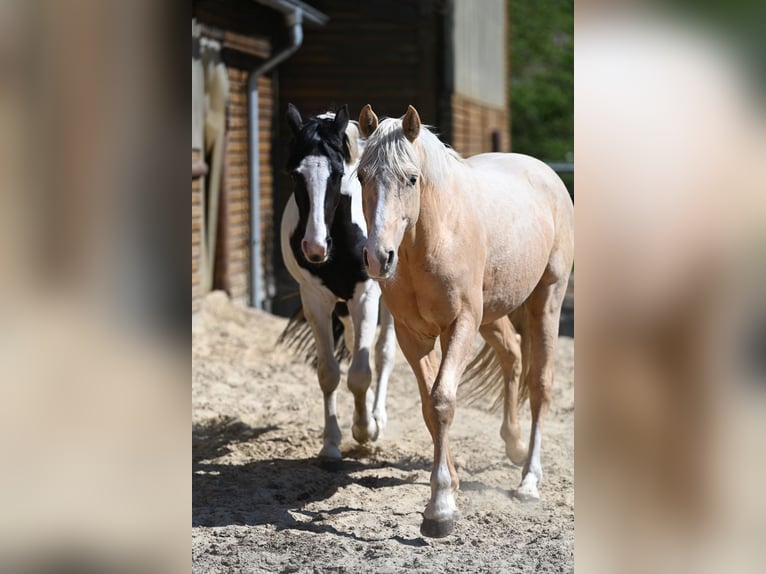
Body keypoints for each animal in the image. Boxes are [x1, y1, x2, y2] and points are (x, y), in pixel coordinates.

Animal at [280, 103, 396, 464]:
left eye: (336, 173)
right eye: (295, 174)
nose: (315, 247)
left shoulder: (366, 297)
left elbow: (361, 373)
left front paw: (365, 430)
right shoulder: (316, 300)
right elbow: (329, 373)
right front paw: (331, 443)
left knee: (383, 353)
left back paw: (377, 418)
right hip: (342, 309)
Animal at [356, 104, 572, 540]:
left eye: (411, 178)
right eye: (360, 176)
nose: (378, 257)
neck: (433, 237)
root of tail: (546, 173)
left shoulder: (459, 326)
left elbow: (442, 400)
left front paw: (440, 508)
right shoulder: (412, 335)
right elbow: (428, 407)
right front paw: (448, 489)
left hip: (546, 300)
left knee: (540, 385)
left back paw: (529, 480)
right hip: (493, 315)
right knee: (512, 357)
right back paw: (514, 445)